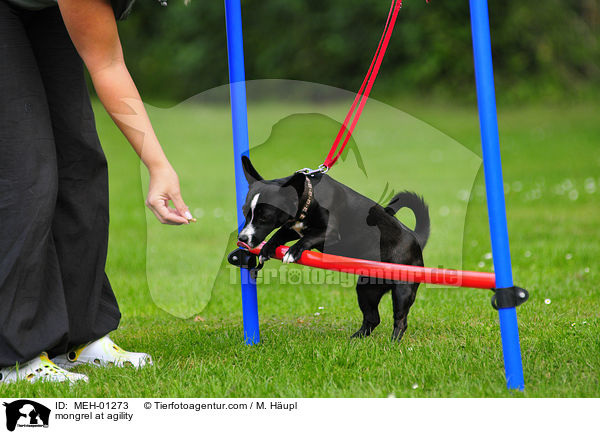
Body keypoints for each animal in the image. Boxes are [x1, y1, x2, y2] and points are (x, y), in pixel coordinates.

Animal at [237, 156, 428, 342]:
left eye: (264, 218)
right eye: (245, 212)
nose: (242, 238)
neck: (309, 197)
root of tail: (415, 238)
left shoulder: (330, 233)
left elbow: (307, 238)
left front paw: (292, 251)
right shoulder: (292, 228)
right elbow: (280, 234)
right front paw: (267, 249)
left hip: (403, 291)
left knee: (400, 320)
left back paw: (393, 343)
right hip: (367, 289)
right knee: (373, 318)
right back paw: (356, 339)